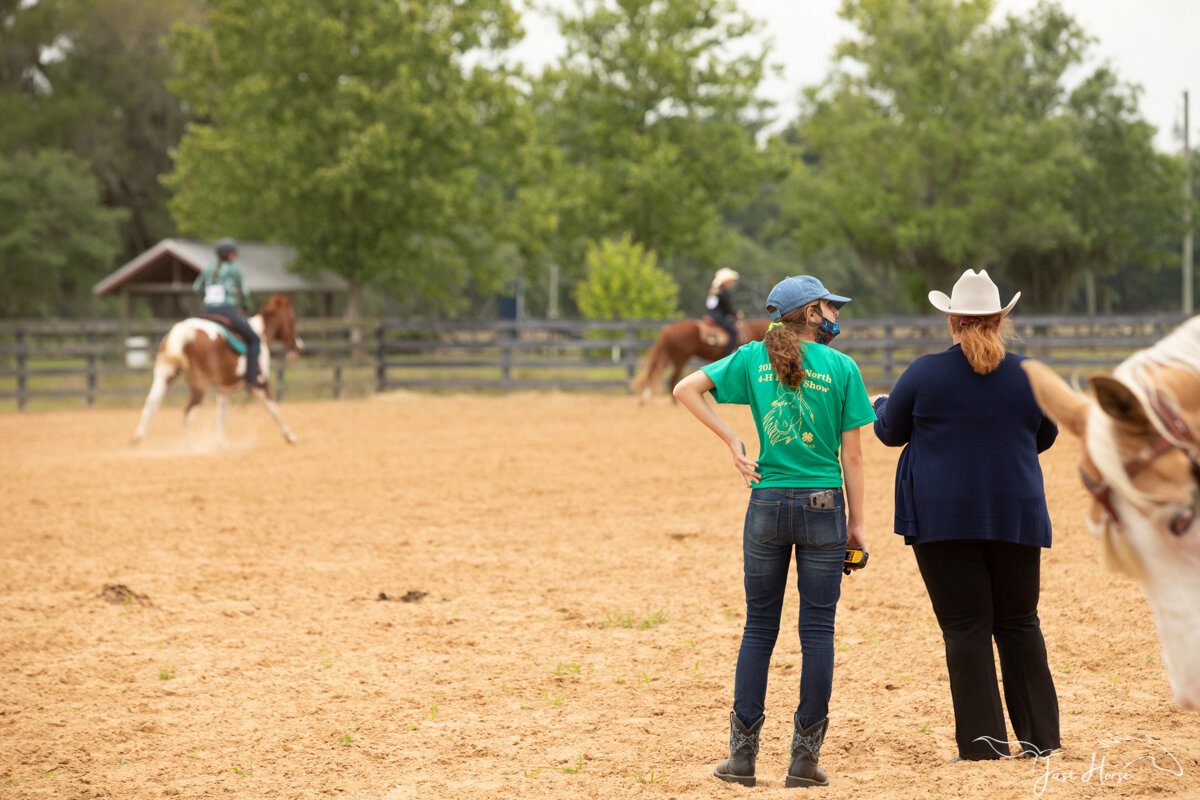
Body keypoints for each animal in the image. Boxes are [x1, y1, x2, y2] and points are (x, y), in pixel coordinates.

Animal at [132, 293, 304, 448]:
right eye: (293, 318)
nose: (299, 347)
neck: (261, 335)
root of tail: (185, 330)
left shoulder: (223, 389)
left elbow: (222, 415)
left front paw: (220, 443)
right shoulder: (260, 384)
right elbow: (274, 410)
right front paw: (290, 437)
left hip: (164, 376)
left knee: (152, 402)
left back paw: (138, 438)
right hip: (199, 385)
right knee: (188, 413)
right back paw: (191, 446)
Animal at [628, 316, 768, 400]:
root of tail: (670, 329)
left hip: (669, 355)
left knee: (655, 371)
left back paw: (644, 399)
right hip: (680, 358)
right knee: (671, 379)